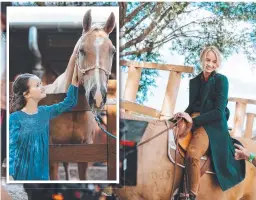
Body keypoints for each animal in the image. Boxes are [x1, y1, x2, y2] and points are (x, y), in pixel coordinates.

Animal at [41, 9, 116, 180]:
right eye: (81, 51)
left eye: (113, 51)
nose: (98, 96)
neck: (73, 109)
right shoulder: (53, 153)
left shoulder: (84, 150)